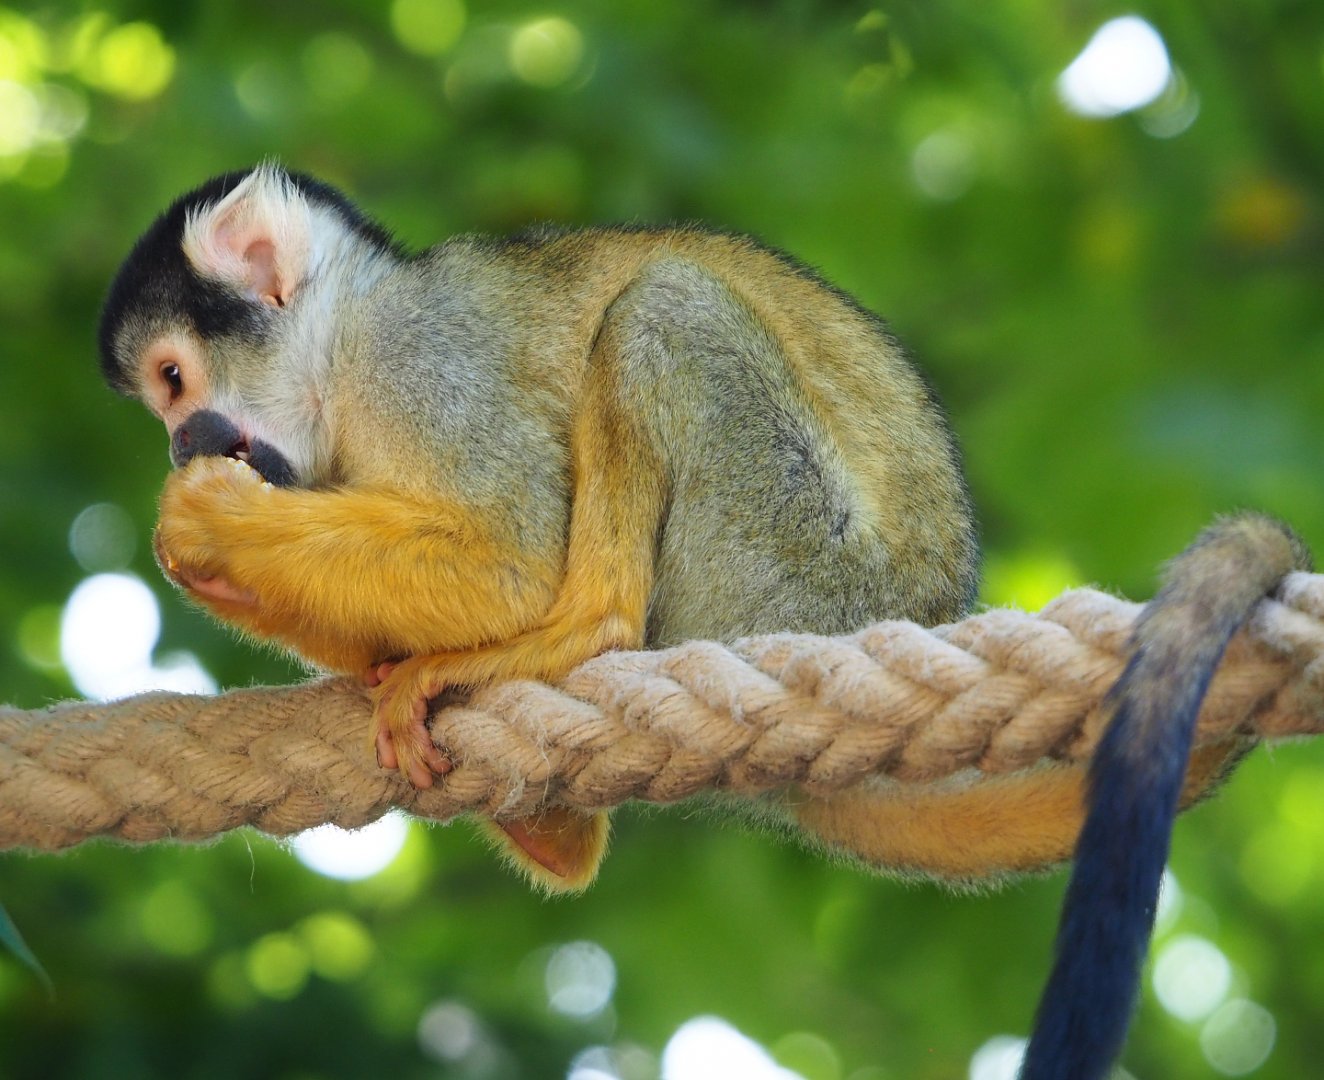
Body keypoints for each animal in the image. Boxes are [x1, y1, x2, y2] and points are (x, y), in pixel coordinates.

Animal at [96, 164, 1295, 1079]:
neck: (338, 364)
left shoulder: (419, 355)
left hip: (790, 569)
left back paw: (588, 630)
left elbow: (511, 559)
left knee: (661, 307)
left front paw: (209, 529)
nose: (175, 443)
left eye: (174, 379)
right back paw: (551, 825)